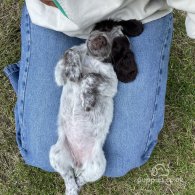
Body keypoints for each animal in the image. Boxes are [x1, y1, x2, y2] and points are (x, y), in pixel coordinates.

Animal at [48, 18, 143, 195]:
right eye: (104, 27)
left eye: (116, 47)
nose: (100, 40)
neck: (90, 59)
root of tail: (77, 162)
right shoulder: (59, 76)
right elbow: (70, 51)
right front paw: (74, 70)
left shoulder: (111, 84)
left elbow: (91, 77)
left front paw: (87, 100)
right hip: (56, 154)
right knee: (68, 177)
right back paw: (71, 189)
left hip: (97, 166)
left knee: (82, 178)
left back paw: (78, 183)